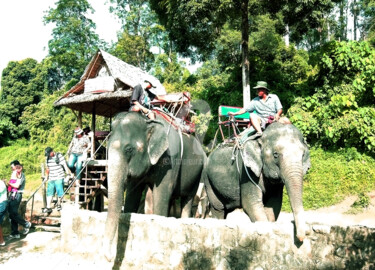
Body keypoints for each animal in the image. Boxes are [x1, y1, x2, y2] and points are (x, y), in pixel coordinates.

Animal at [104, 111, 207, 260]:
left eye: (129, 149)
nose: (110, 256)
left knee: (188, 198)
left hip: (198, 173)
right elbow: (133, 194)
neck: (148, 121)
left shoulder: (170, 160)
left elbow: (162, 194)